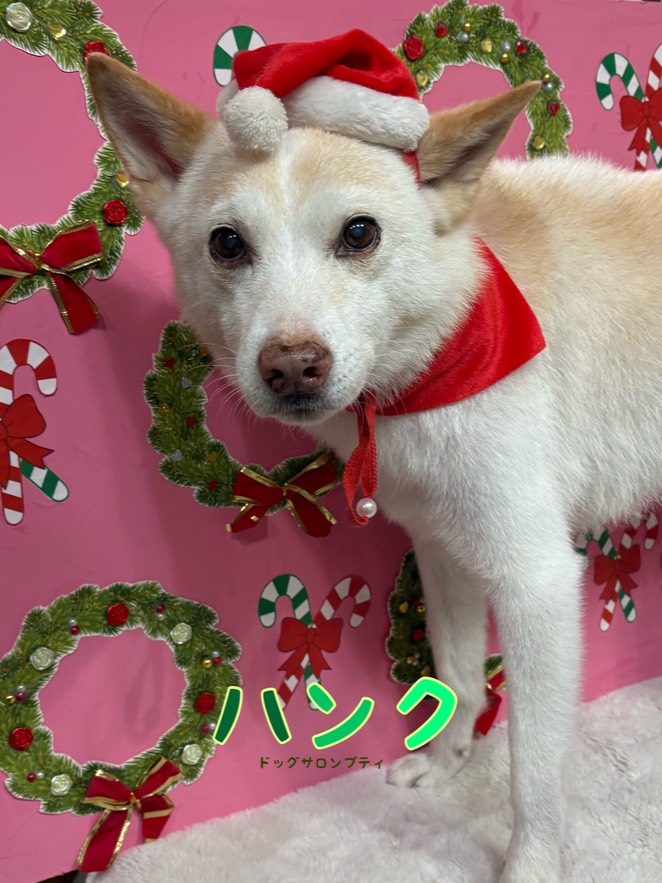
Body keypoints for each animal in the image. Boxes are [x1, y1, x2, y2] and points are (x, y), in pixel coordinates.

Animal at [87, 30, 662, 883]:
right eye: (228, 243)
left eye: (359, 233)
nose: (292, 367)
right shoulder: (444, 548)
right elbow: (459, 676)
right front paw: (446, 764)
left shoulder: (536, 581)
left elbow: (534, 769)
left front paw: (530, 863)